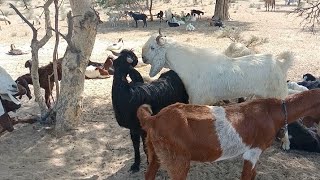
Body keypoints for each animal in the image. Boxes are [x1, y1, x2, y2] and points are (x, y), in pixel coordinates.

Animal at [136, 89, 320, 179]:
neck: (274, 112)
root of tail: (153, 119)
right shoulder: (253, 150)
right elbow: (246, 176)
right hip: (177, 158)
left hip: (155, 151)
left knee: (149, 174)